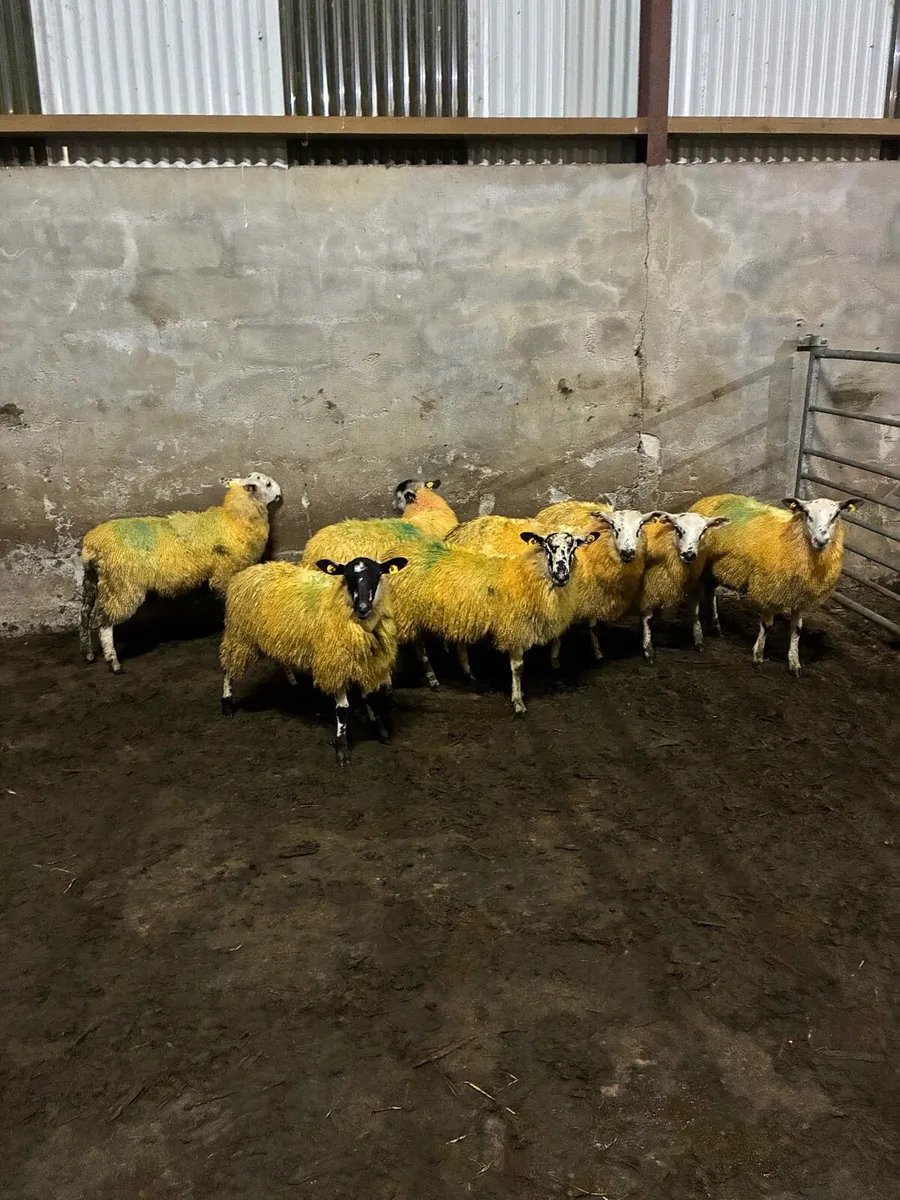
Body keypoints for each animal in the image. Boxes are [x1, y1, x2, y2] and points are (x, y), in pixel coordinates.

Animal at [80, 472, 282, 674]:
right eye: (267, 484)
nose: (280, 493)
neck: (232, 520)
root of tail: (93, 544)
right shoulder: (225, 574)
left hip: (98, 582)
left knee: (85, 616)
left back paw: (88, 654)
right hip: (123, 586)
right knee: (103, 623)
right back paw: (113, 662)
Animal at [220, 554, 408, 766]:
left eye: (377, 575)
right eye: (347, 577)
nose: (363, 608)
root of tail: (248, 571)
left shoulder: (366, 662)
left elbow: (370, 699)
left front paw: (381, 731)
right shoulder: (334, 663)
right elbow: (342, 710)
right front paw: (341, 749)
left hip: (278, 637)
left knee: (281, 660)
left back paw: (294, 686)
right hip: (239, 636)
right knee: (228, 667)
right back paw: (227, 704)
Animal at [388, 529, 597, 714]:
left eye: (573, 548)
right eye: (547, 547)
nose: (561, 575)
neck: (527, 576)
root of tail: (395, 551)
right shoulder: (514, 628)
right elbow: (518, 668)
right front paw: (518, 702)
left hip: (413, 616)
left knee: (419, 647)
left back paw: (433, 679)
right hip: (401, 614)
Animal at [635, 512, 730, 661]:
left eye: (703, 531)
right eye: (678, 529)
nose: (689, 555)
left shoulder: (692, 584)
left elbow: (695, 611)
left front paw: (699, 640)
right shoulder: (648, 586)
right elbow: (647, 617)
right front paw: (648, 649)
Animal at [688, 493, 862, 674]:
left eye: (836, 514)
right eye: (806, 513)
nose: (821, 540)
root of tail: (712, 497)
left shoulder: (801, 596)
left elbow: (797, 629)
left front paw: (794, 663)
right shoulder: (768, 590)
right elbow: (768, 626)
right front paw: (758, 656)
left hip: (715, 568)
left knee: (710, 592)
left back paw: (716, 626)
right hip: (698, 565)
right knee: (695, 598)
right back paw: (699, 637)